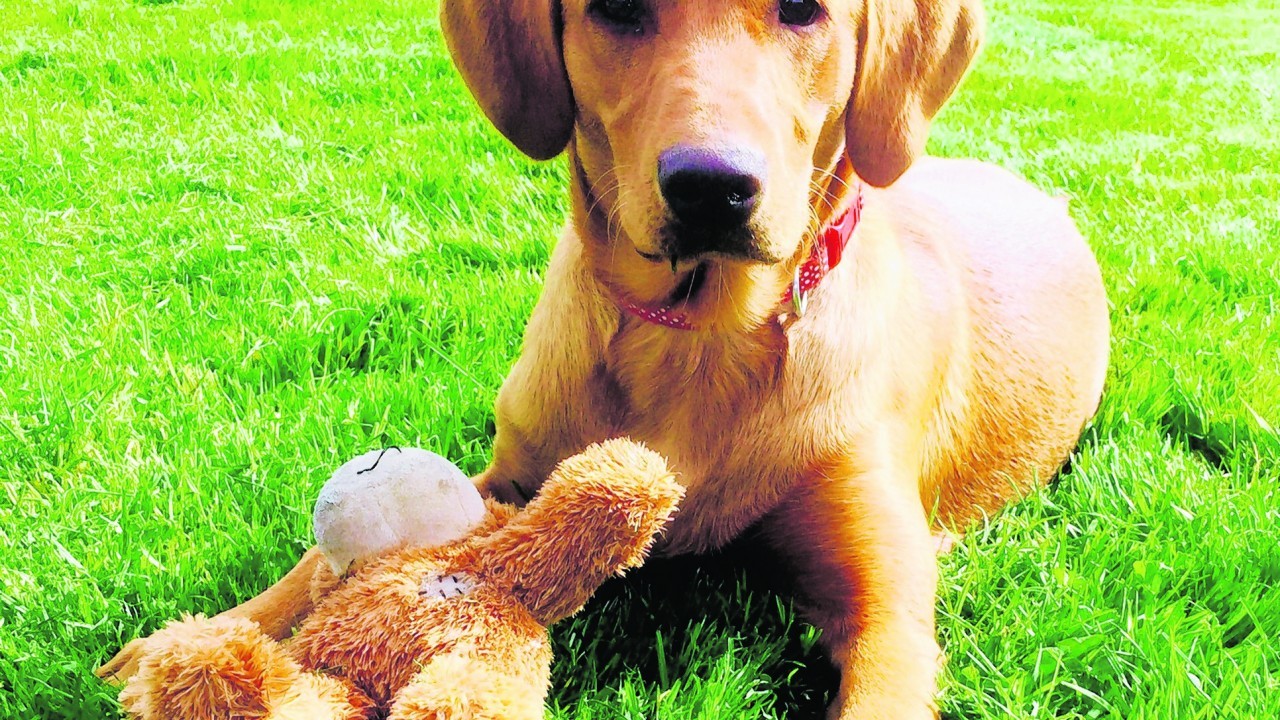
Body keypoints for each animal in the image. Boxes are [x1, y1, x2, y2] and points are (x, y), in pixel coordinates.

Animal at [102, 1, 1111, 712]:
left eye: (803, 7)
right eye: (618, 5)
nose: (711, 187)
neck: (697, 338)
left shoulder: (889, 616)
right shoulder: (510, 476)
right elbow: (321, 560)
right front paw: (192, 640)